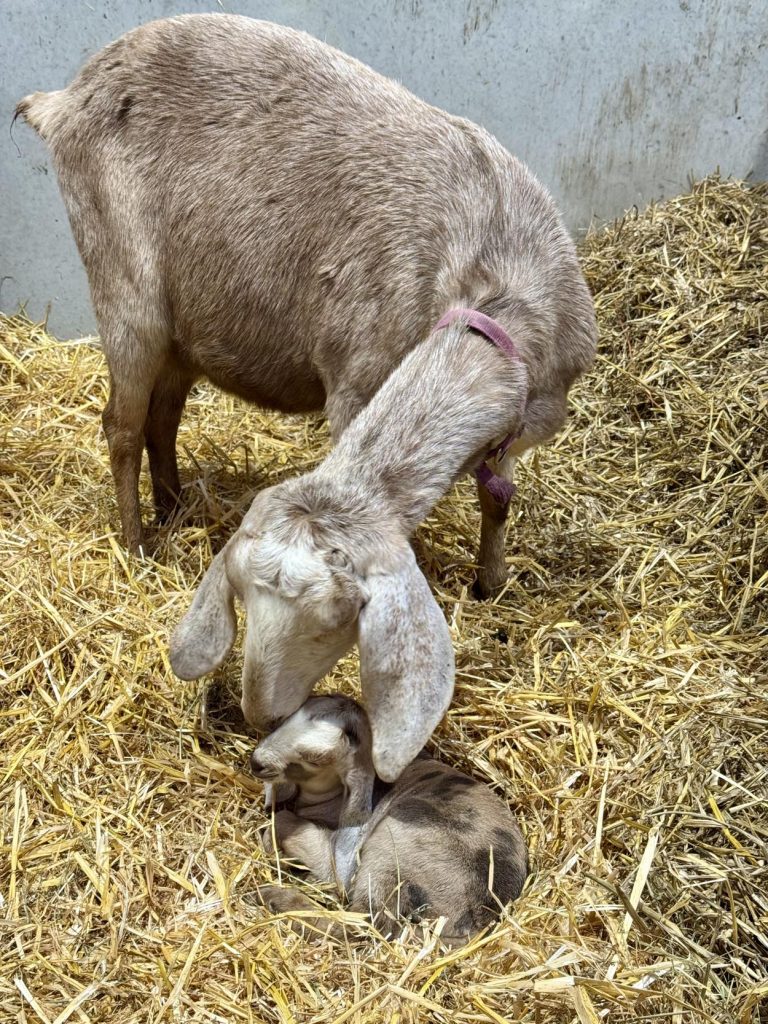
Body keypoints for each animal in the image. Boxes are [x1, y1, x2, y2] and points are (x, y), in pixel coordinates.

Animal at [16, 13, 596, 598]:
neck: (495, 276)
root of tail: (63, 100)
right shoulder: (355, 381)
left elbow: (498, 497)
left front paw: (491, 584)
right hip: (125, 286)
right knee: (121, 425)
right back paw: (138, 551)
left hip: (183, 334)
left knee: (163, 419)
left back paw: (176, 513)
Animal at [250, 694, 529, 944]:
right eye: (286, 719)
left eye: (314, 759)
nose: (256, 762)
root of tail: (472, 922)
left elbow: (286, 822)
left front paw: (273, 850)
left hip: (394, 847)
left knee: (367, 922)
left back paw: (275, 898)